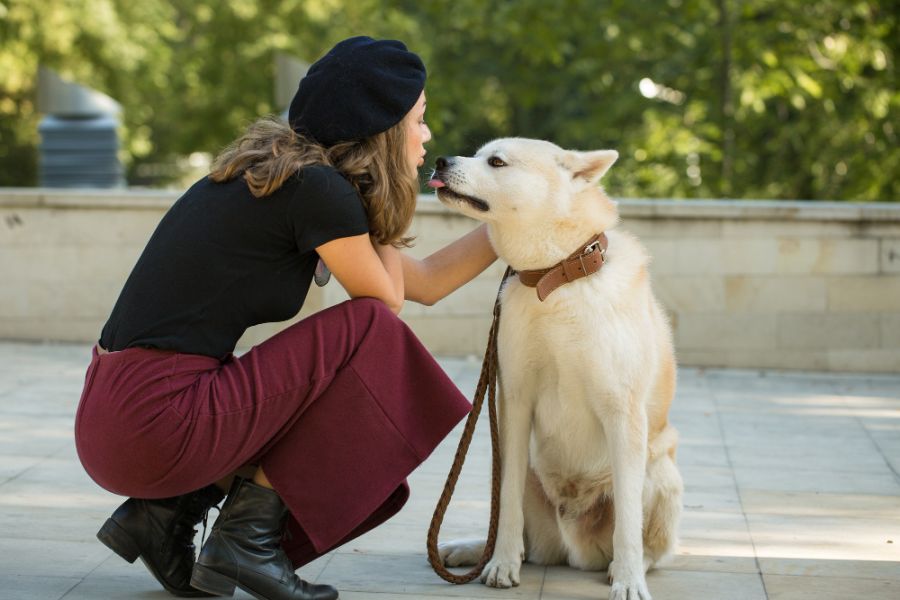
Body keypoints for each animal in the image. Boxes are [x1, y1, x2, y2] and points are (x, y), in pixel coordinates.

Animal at [428, 138, 684, 596]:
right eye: (477, 153)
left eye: (496, 161)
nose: (440, 160)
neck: (556, 279)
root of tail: (572, 551)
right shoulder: (513, 402)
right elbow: (508, 507)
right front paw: (502, 565)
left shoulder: (622, 412)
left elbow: (628, 524)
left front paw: (629, 580)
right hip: (515, 467)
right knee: (521, 534)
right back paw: (475, 551)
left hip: (659, 471)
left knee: (646, 544)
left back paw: (624, 567)